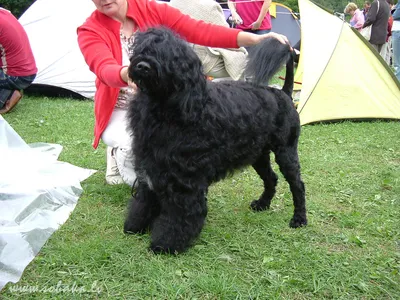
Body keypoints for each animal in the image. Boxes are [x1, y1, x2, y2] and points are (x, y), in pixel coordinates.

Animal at [124, 27, 306, 253]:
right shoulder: (151, 167)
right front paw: (136, 225)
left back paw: (299, 219)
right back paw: (262, 204)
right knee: (271, 178)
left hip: (285, 151)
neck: (167, 108)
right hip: (258, 155)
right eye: (143, 49)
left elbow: (180, 214)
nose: (142, 65)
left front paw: (166, 244)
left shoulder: (185, 179)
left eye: (170, 55)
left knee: (297, 184)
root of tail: (284, 93)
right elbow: (145, 200)